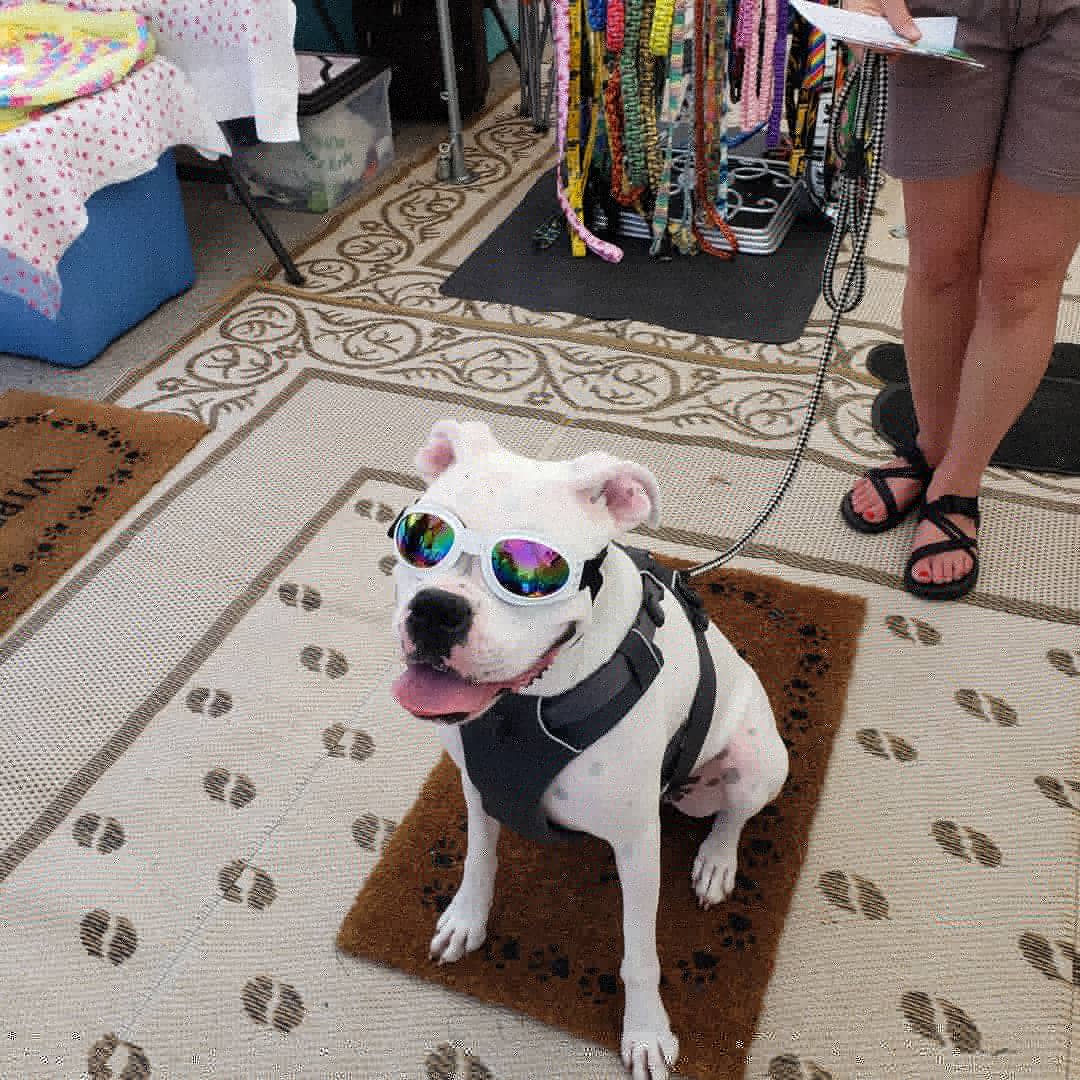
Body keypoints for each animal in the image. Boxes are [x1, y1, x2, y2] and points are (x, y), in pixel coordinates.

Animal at [388, 421, 786, 1080]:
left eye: (529, 571)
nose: (436, 610)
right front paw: (467, 919)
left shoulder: (638, 843)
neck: (526, 709)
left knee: (733, 815)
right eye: (420, 537)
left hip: (759, 760)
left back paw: (716, 862)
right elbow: (478, 859)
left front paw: (646, 1030)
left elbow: (639, 954)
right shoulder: (476, 787)